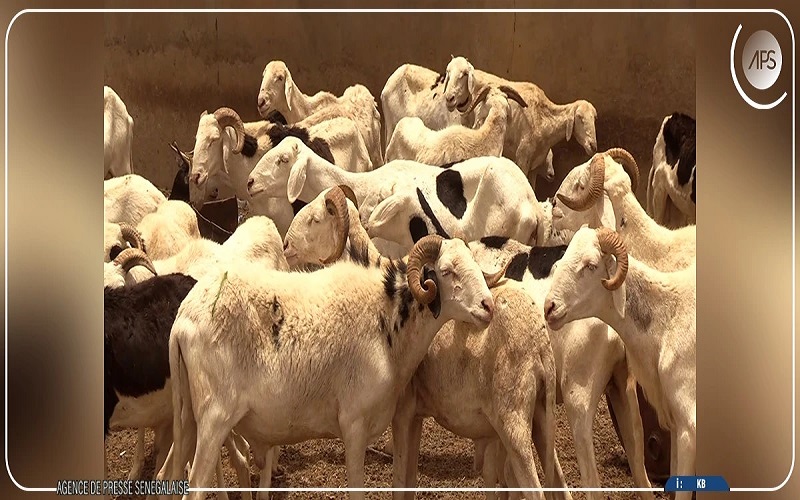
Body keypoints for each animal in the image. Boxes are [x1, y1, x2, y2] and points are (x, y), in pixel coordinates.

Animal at [165, 234, 498, 499]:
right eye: (446, 271)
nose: (488, 306)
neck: (386, 316)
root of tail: (184, 318)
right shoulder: (353, 424)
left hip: (188, 418)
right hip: (215, 418)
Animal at [285, 187, 570, 499]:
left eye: (314, 219)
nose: (285, 245)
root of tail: (539, 340)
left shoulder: (402, 411)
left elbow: (400, 480)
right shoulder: (417, 414)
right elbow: (409, 479)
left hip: (513, 423)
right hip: (542, 419)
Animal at [442, 56, 598, 190]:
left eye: (594, 119)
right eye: (580, 118)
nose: (593, 146)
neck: (544, 119)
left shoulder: (535, 166)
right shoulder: (522, 156)